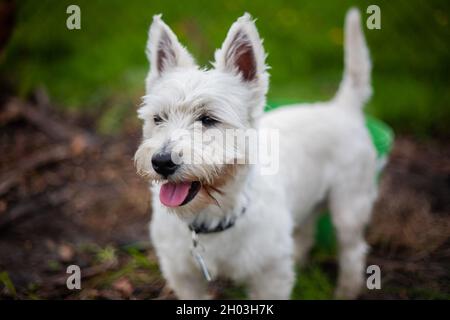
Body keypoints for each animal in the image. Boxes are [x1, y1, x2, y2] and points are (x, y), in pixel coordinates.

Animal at [135, 8, 378, 300]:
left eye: (208, 119)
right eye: (158, 118)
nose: (161, 162)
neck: (213, 216)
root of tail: (341, 107)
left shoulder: (269, 278)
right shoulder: (183, 275)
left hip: (350, 205)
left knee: (353, 250)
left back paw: (345, 290)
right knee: (306, 233)